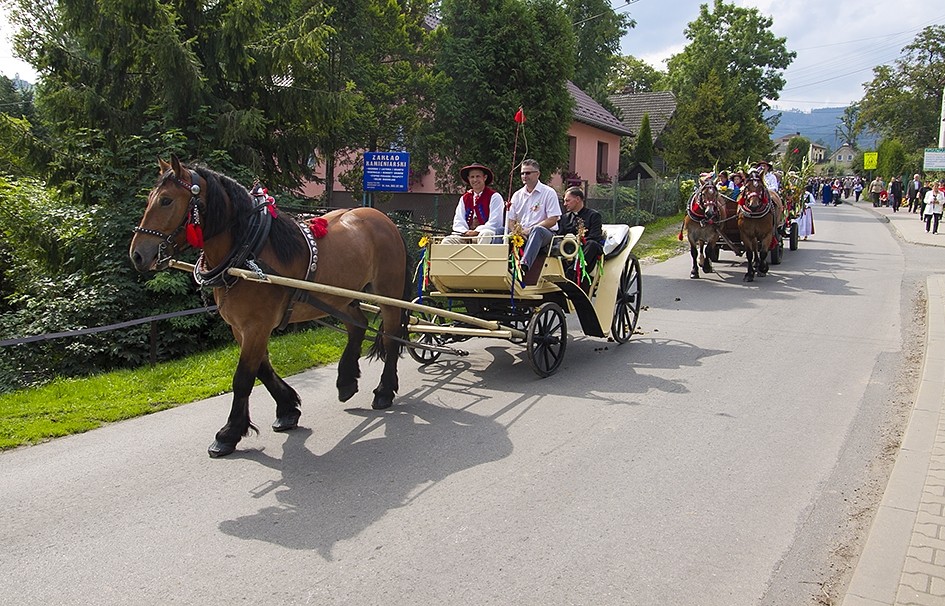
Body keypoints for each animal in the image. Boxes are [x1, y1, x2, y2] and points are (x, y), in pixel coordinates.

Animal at [130, 156, 410, 457]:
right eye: (150, 198)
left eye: (166, 201)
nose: (137, 254)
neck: (246, 252)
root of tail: (385, 219)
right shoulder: (241, 327)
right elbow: (262, 368)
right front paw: (288, 409)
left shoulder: (257, 326)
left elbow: (243, 377)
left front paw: (228, 433)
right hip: (337, 297)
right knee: (358, 325)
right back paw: (346, 381)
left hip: (388, 293)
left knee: (391, 337)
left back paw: (384, 391)